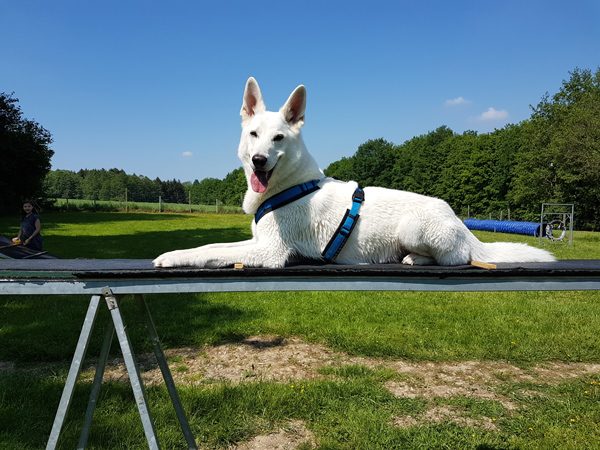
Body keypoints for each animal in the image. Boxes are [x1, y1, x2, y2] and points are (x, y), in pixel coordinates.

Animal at [153, 78, 555, 268]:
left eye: (278, 137)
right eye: (254, 135)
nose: (259, 161)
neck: (291, 185)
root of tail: (462, 224)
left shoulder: (270, 251)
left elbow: (209, 252)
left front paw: (170, 257)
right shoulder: (256, 244)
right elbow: (210, 246)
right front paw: (175, 252)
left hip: (414, 228)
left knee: (455, 258)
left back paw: (414, 258)